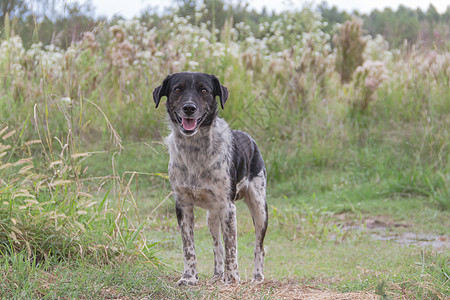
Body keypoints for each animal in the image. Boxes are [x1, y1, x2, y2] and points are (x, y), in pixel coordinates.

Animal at [155, 72, 268, 286]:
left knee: (259, 246)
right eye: (177, 89)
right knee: (217, 245)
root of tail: (250, 139)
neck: (195, 149)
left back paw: (257, 277)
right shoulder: (183, 205)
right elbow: (189, 247)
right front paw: (189, 277)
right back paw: (217, 275)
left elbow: (232, 248)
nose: (189, 108)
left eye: (204, 90)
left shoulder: (228, 207)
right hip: (211, 218)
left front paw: (232, 279)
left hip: (259, 208)